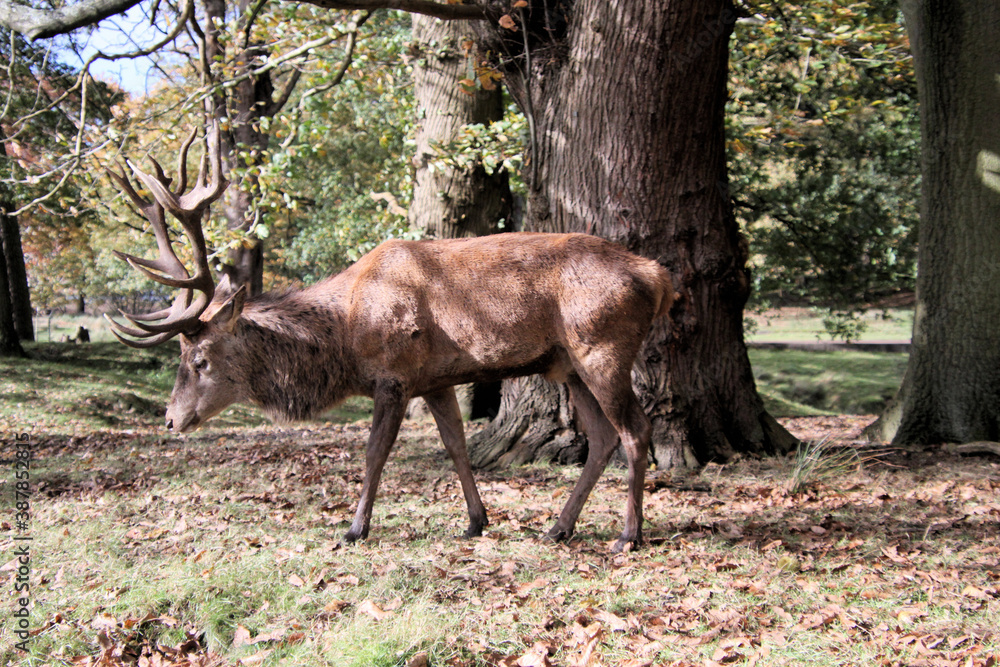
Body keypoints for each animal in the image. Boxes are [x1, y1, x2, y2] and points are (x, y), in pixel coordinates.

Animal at [105, 123, 674, 552]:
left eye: (198, 359)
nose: (171, 418)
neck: (347, 335)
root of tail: (657, 276)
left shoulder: (394, 375)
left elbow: (374, 453)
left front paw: (354, 527)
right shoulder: (436, 380)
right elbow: (456, 446)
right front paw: (476, 520)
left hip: (602, 348)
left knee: (636, 431)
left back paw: (628, 535)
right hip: (568, 364)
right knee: (602, 438)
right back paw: (559, 526)